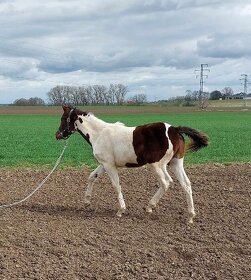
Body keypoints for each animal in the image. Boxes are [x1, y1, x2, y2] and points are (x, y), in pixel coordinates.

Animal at [56, 105, 209, 223]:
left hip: (157, 165)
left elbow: (116, 185)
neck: (99, 134)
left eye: (63, 118)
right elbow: (92, 176)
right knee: (186, 184)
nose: (57, 135)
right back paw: (190, 217)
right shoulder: (104, 164)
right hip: (176, 163)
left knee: (166, 182)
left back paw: (150, 206)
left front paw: (120, 210)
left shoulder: (109, 165)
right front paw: (87, 201)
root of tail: (175, 129)